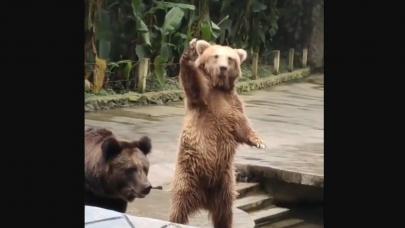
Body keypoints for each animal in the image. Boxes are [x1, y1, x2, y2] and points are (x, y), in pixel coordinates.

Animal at [168, 39, 266, 228]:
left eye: (230, 58)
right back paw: (175, 220)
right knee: (179, 204)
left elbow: (242, 126)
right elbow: (192, 84)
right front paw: (189, 53)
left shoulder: (233, 105)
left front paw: (259, 141)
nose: (223, 68)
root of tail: (203, 200)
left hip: (225, 182)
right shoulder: (203, 99)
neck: (218, 87)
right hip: (188, 173)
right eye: (215, 55)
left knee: (225, 212)